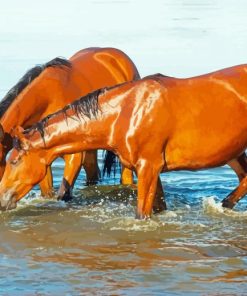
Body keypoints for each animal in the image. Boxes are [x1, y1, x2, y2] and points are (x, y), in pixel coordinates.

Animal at [0, 65, 247, 217]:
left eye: (14, 161)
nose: (1, 199)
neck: (126, 111)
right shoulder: (149, 170)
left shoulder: (148, 168)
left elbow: (141, 215)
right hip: (233, 151)